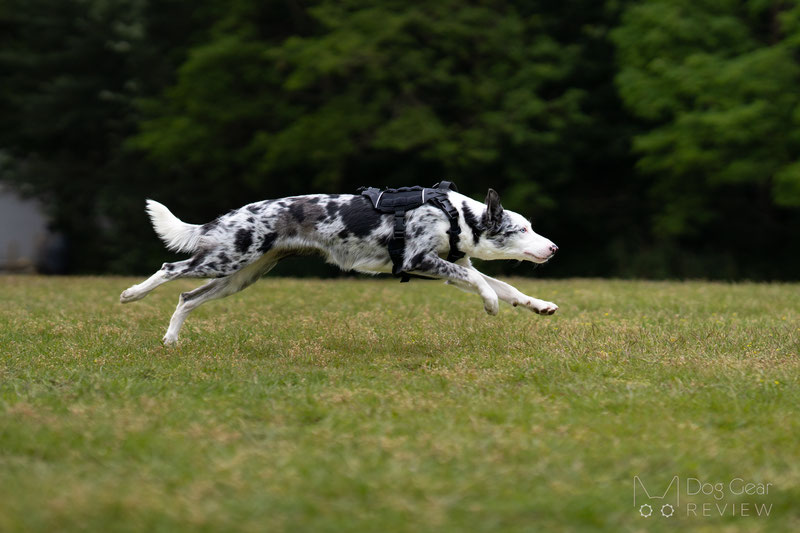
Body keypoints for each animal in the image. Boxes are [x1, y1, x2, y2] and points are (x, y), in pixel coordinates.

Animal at [119, 188, 560, 344]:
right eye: (521, 228)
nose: (554, 248)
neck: (455, 216)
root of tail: (229, 216)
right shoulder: (420, 260)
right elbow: (483, 284)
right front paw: (489, 304)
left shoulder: (448, 265)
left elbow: (508, 288)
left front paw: (539, 305)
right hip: (227, 257)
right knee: (170, 268)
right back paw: (132, 294)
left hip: (239, 276)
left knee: (186, 297)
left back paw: (171, 340)